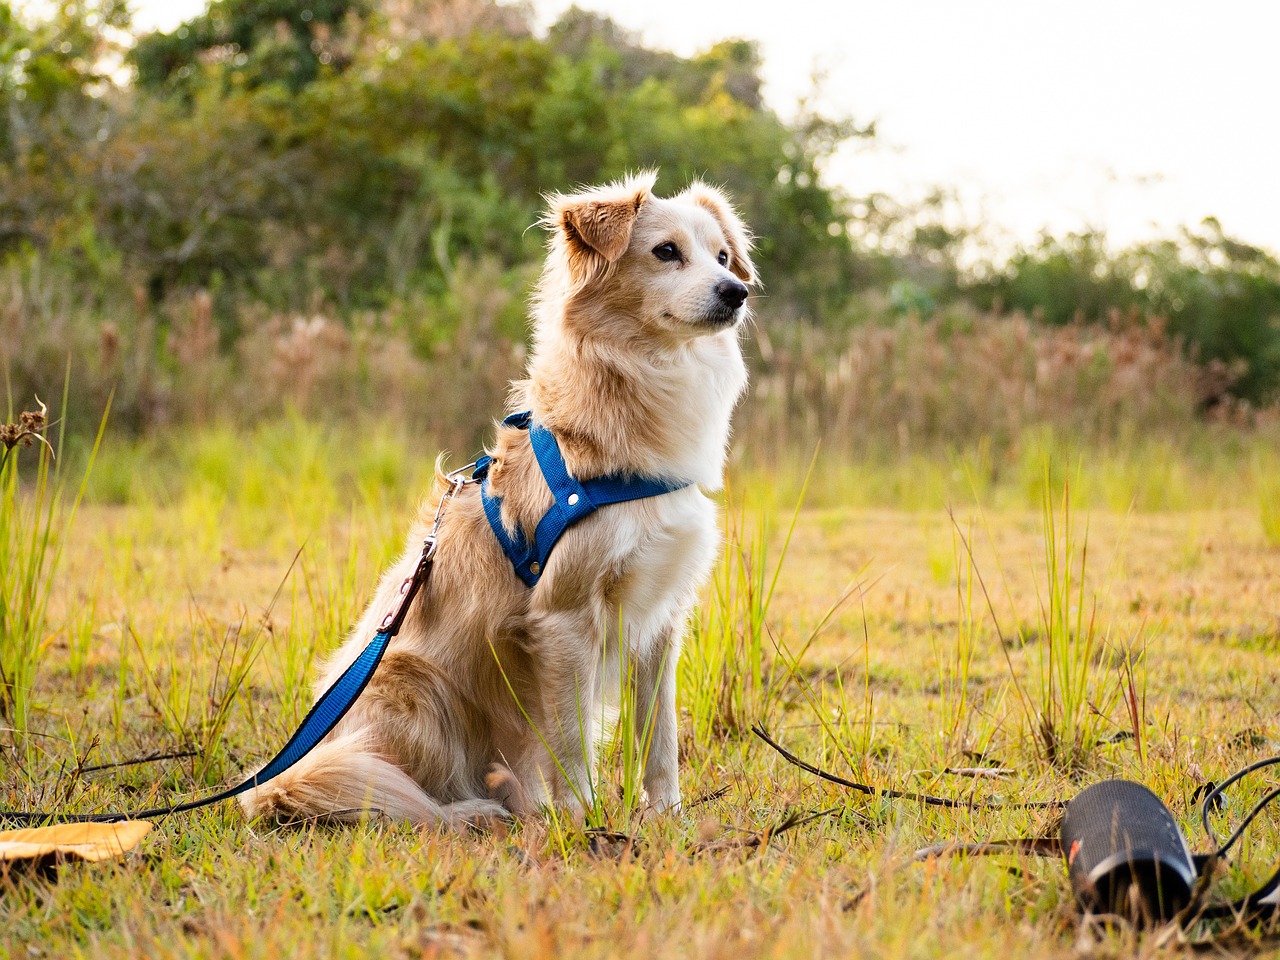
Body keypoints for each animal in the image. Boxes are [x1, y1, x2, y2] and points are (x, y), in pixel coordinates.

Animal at [241, 175, 747, 829]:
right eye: (666, 252)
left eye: (723, 257)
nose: (736, 292)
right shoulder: (564, 617)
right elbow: (572, 743)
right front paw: (583, 823)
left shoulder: (659, 615)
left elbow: (660, 738)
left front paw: (667, 818)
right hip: (419, 687)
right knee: (402, 792)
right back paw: (472, 812)